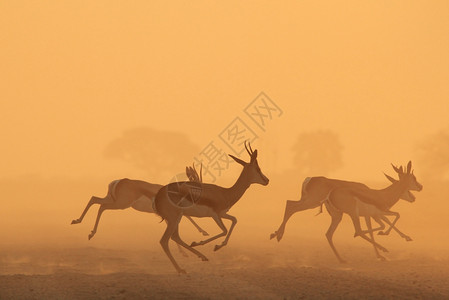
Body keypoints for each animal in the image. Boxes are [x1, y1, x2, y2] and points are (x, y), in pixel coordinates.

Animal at [71, 164, 208, 239]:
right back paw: (91, 233)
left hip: (112, 198)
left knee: (94, 199)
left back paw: (76, 221)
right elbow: (188, 216)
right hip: (121, 204)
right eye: (197, 183)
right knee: (102, 206)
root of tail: (118, 181)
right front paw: (204, 232)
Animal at [154, 142, 268, 274]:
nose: (267, 180)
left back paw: (201, 256)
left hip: (177, 217)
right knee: (164, 240)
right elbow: (224, 230)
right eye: (258, 169)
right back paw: (180, 269)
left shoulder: (222, 213)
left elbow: (234, 220)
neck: (226, 193)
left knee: (175, 237)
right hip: (174, 218)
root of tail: (158, 196)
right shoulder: (215, 214)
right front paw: (208, 245)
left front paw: (215, 246)